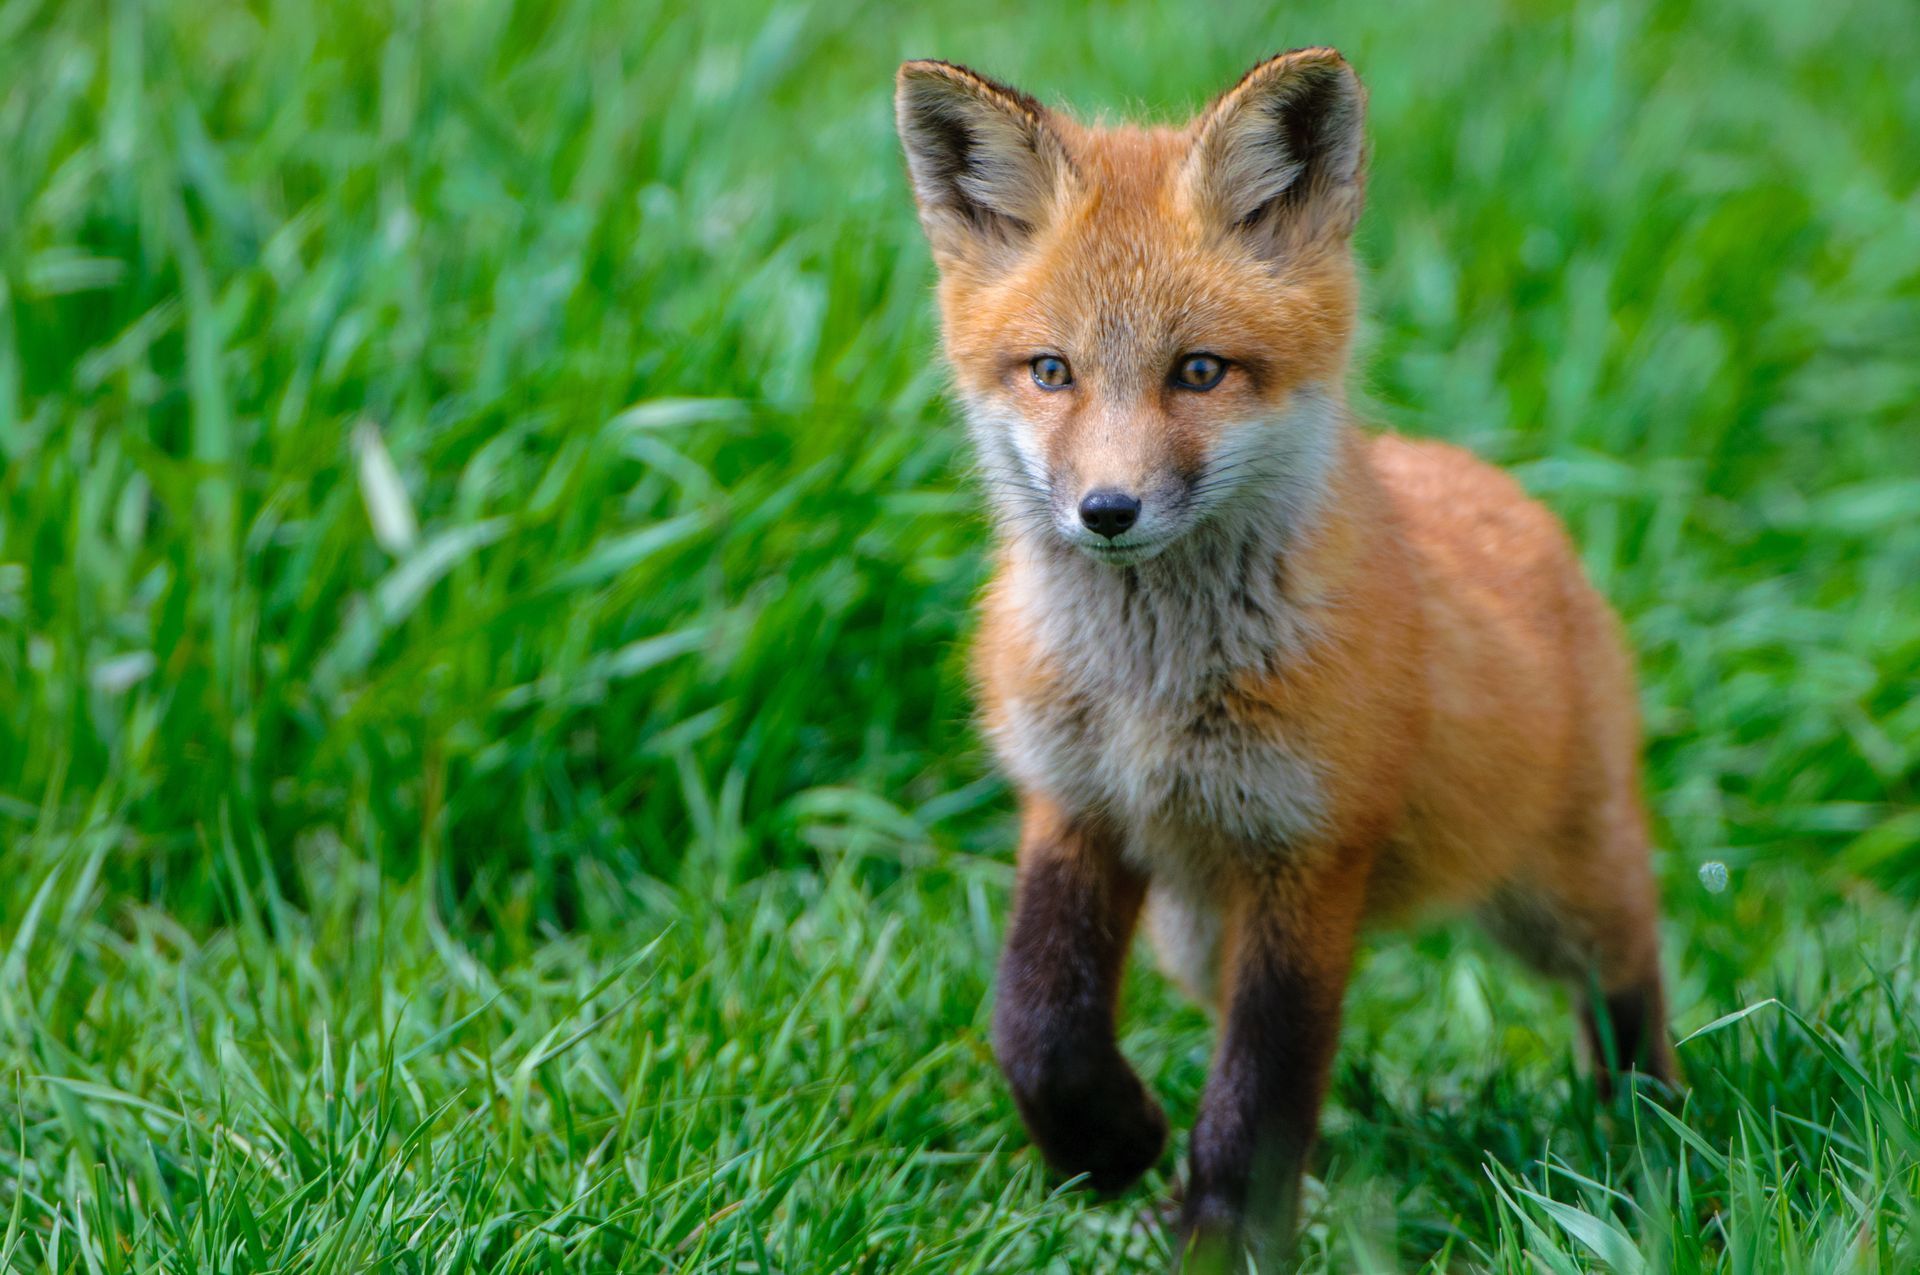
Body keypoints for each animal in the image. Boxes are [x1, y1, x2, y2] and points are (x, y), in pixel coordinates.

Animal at [893, 47, 1674, 1267]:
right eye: (1052, 371)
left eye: (1200, 371)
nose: (1106, 511)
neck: (1150, 697)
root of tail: (1495, 490)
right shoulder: (1075, 806)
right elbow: (1037, 1023)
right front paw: (1113, 1144)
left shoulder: (1309, 853)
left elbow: (1260, 1085)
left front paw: (1221, 1238)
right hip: (1191, 930)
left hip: (1556, 893)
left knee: (1632, 969)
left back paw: (1651, 1131)